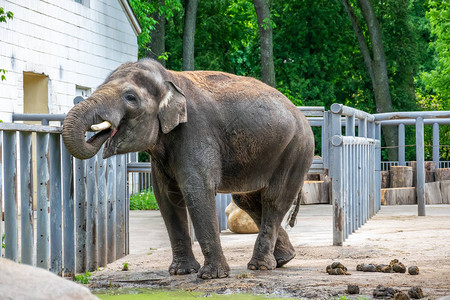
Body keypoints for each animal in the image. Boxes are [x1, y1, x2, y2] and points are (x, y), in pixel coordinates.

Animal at [61, 58, 314, 278]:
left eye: (130, 97)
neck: (169, 79)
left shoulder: (195, 131)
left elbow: (197, 192)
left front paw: (212, 276)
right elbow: (166, 198)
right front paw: (181, 272)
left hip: (296, 150)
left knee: (273, 200)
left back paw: (260, 266)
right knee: (248, 201)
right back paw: (283, 260)